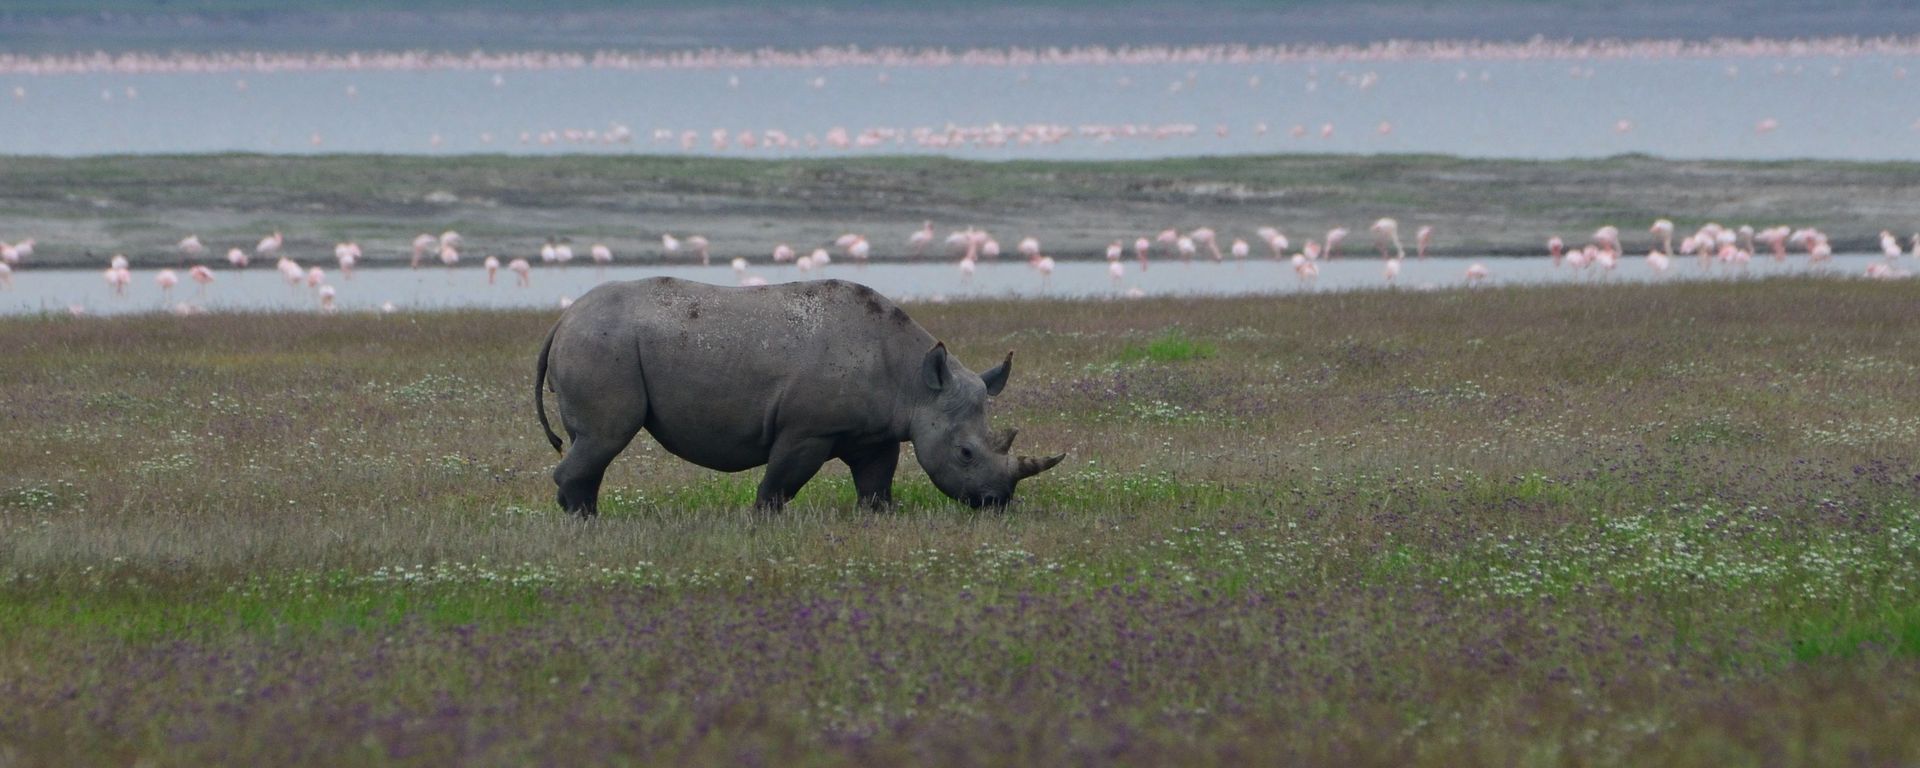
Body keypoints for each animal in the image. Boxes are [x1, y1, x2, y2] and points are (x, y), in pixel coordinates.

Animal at [534, 277, 1063, 516]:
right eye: (967, 453)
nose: (997, 501)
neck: (917, 384)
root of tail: (562, 319)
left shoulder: (876, 431)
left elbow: (876, 480)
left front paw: (880, 517)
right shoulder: (809, 428)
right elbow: (781, 481)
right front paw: (762, 520)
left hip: (597, 342)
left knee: (591, 443)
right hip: (601, 345)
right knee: (605, 437)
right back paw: (587, 523)